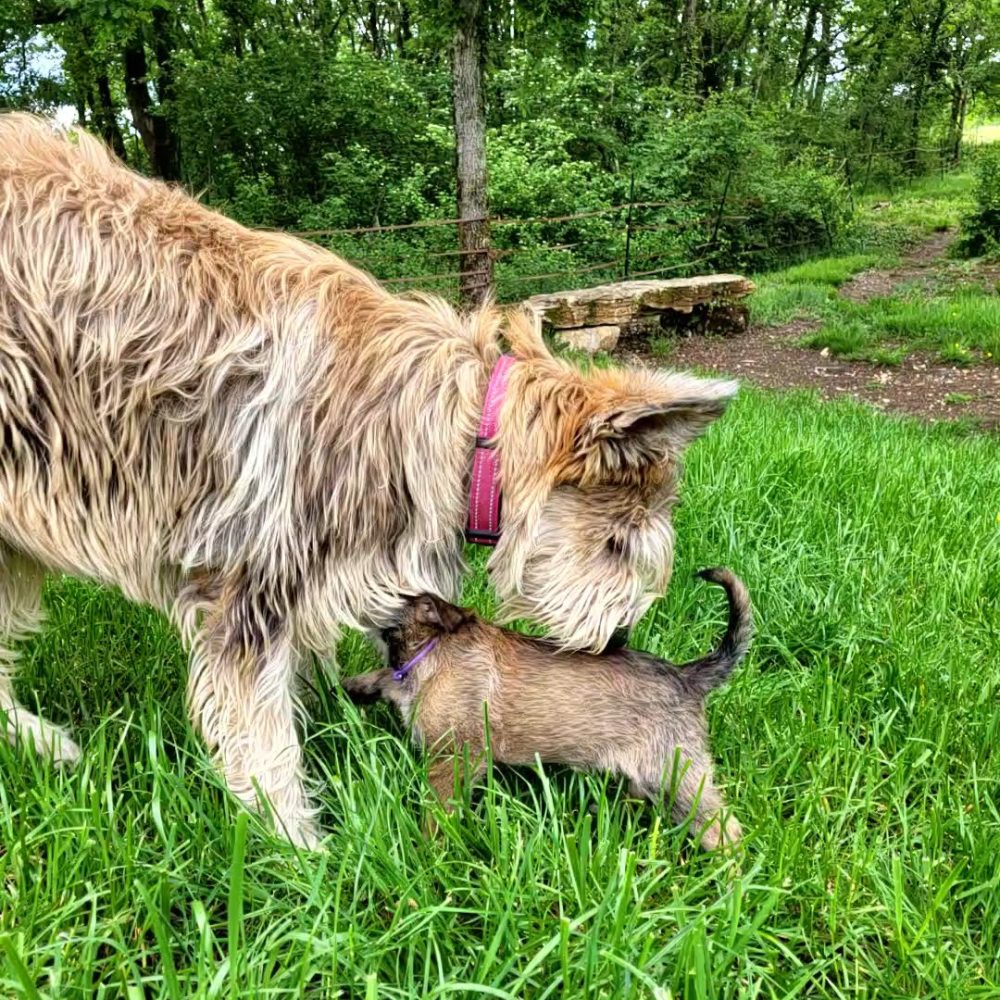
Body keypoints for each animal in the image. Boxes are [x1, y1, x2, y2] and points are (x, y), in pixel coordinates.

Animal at [344, 572, 752, 852]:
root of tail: (688, 676)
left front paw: (430, 850)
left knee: (725, 830)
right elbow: (388, 679)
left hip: (675, 774)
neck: (432, 648)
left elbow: (438, 811)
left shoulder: (454, 758)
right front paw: (357, 686)